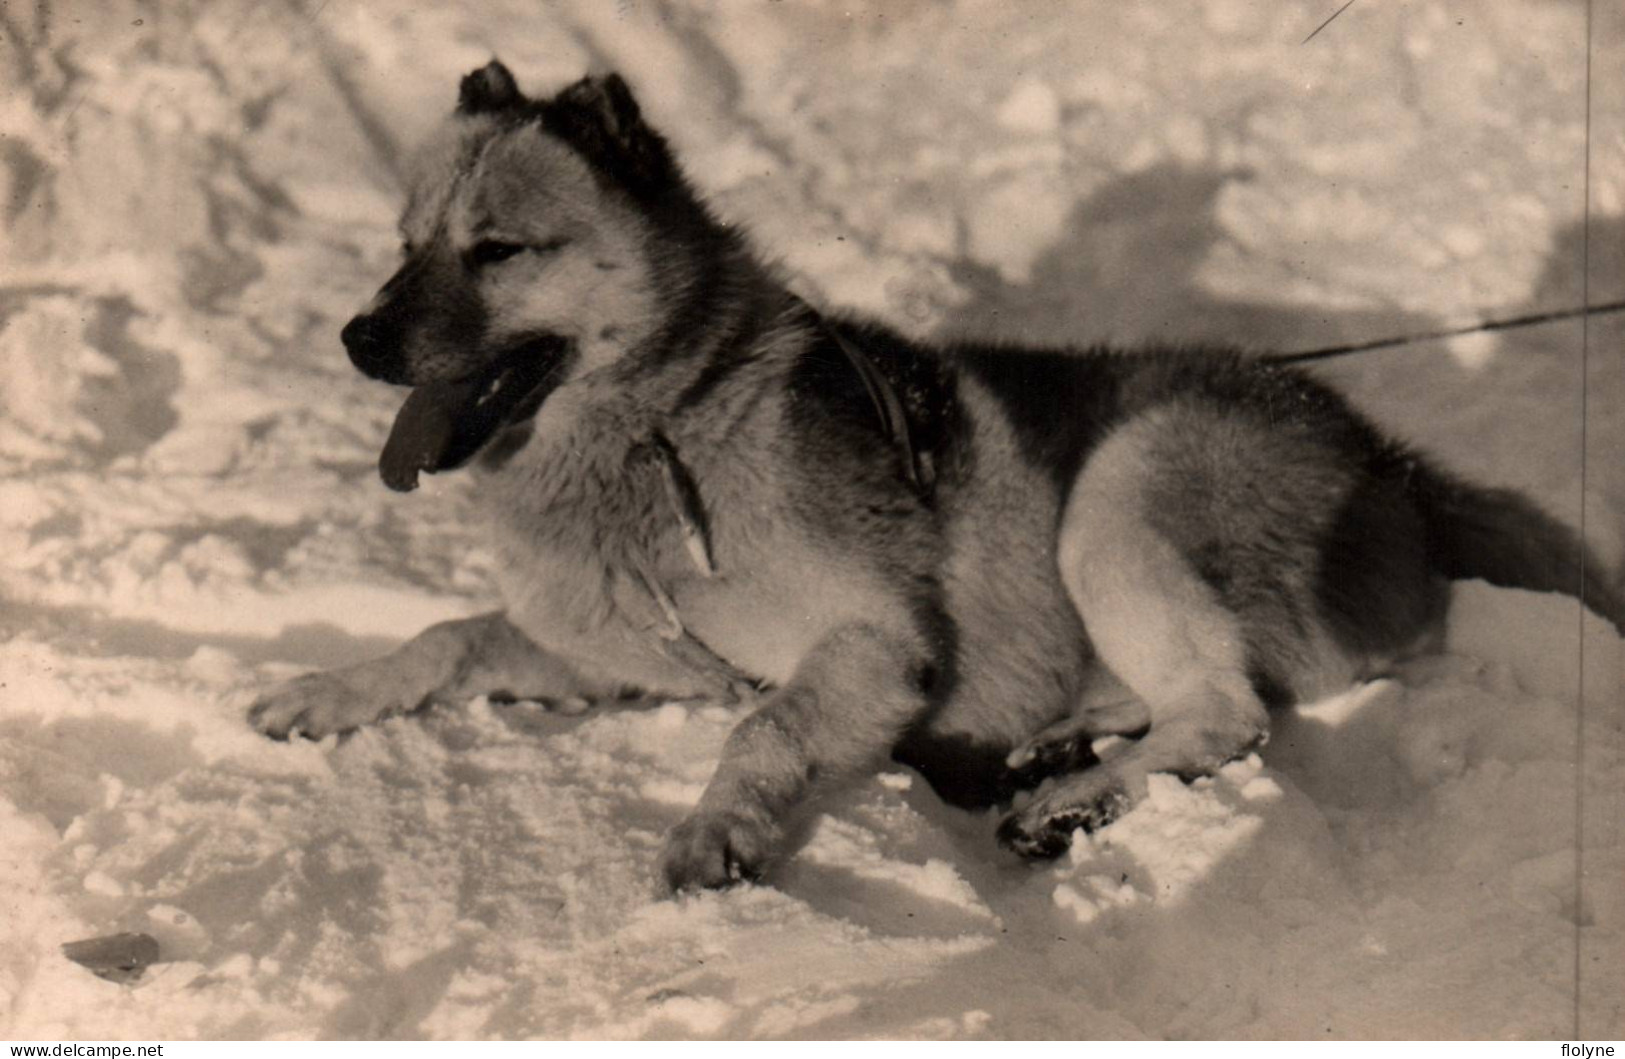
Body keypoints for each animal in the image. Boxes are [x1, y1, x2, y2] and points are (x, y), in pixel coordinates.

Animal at [243, 62, 1625, 896]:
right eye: (404, 244)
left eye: (495, 251)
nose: (358, 338)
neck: (669, 421)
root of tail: (1390, 464)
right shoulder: (629, 656)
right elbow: (452, 636)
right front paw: (330, 689)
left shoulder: (866, 646)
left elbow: (762, 726)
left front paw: (715, 825)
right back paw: (1053, 749)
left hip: (1119, 494)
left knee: (1227, 715)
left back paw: (1069, 799)